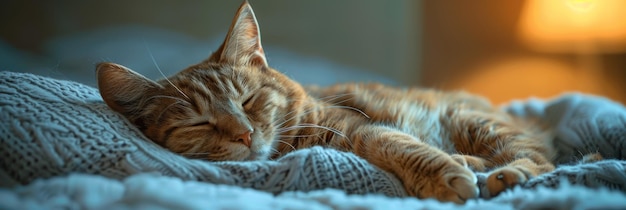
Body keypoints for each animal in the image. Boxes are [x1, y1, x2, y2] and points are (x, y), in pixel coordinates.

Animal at [96, 0, 556, 203]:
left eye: (248, 100)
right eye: (199, 123)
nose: (244, 135)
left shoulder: (361, 127)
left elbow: (397, 143)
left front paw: (446, 176)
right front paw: (451, 172)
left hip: (475, 122)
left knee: (539, 159)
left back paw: (504, 174)